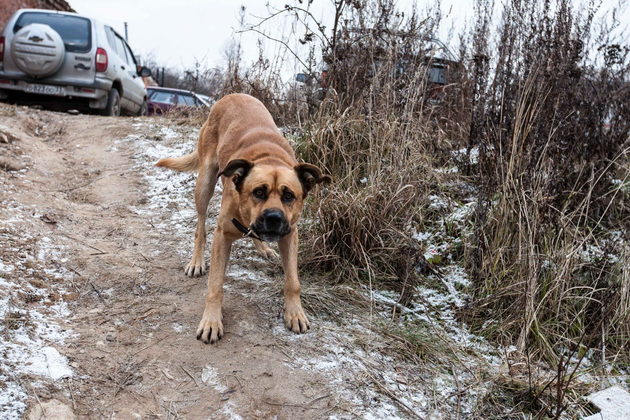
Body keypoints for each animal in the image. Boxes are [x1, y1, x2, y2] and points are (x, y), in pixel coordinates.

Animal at [155, 93, 330, 344]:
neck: (268, 158)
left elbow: (293, 282)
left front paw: (295, 313)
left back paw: (263, 248)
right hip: (205, 182)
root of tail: (231, 96)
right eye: (258, 192)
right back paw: (197, 261)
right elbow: (215, 286)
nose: (273, 217)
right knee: (200, 226)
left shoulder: (290, 236)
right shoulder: (222, 237)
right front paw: (211, 321)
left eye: (289, 196)